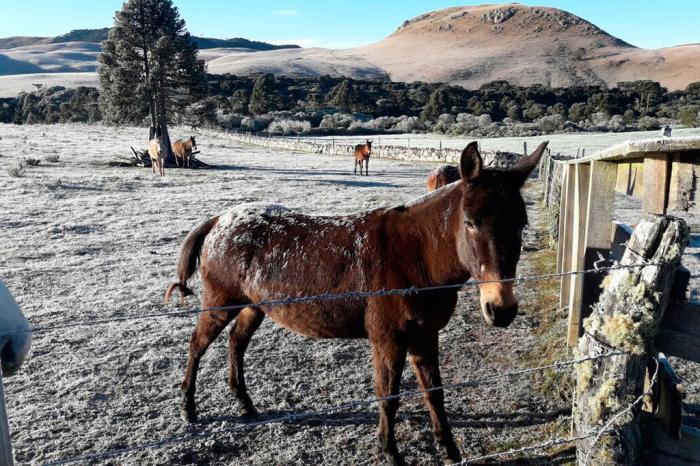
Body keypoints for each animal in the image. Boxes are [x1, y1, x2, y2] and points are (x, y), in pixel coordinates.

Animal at [164, 140, 548, 464]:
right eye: (470, 222)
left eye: (522, 223)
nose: (501, 309)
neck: (414, 256)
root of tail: (220, 221)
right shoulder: (388, 341)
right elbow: (388, 396)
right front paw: (390, 452)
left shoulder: (425, 337)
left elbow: (434, 392)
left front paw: (449, 449)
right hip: (221, 302)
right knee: (197, 346)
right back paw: (188, 408)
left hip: (252, 306)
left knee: (236, 344)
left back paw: (245, 405)